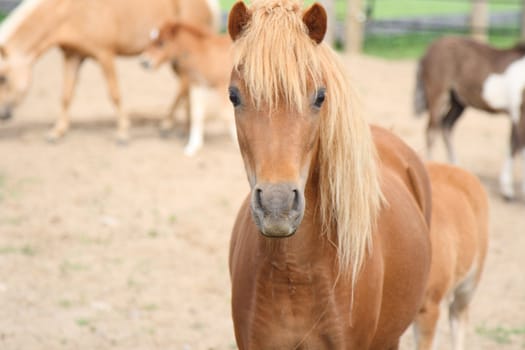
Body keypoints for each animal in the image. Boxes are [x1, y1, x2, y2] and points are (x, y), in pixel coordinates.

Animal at [0, 0, 218, 144]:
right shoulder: (72, 57)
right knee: (185, 86)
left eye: (3, 78)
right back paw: (183, 127)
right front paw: (57, 132)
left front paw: (123, 132)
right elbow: (66, 95)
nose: (3, 115)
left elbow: (114, 93)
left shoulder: (104, 54)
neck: (69, 11)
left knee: (184, 85)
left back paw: (168, 124)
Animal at [141, 21, 235, 156]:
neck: (205, 53)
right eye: (151, 41)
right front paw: (193, 146)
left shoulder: (222, 86)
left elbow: (226, 115)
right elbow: (196, 114)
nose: (144, 62)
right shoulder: (197, 85)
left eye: (162, 43)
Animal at [414, 36, 524, 200]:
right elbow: (519, 147)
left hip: (458, 102)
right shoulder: (519, 112)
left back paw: (455, 170)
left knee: (446, 127)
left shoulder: (514, 114)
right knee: (431, 131)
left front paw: (507, 190)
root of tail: (429, 49)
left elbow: (512, 145)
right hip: (438, 96)